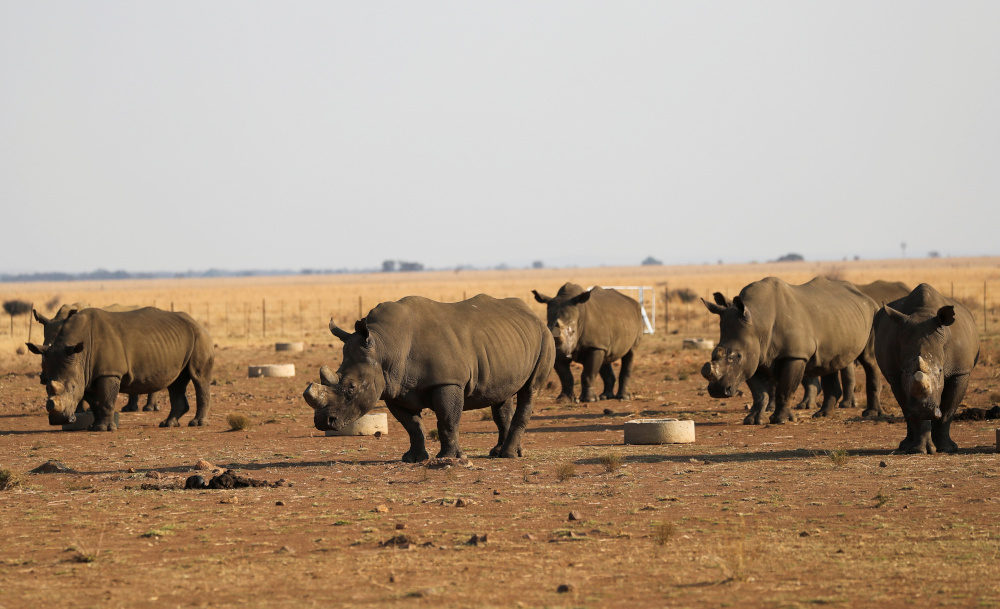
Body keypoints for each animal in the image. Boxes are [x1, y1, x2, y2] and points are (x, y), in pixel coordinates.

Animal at [303, 295, 555, 462]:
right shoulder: (394, 388)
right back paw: (501, 452)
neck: (385, 345)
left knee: (530, 391)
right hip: (506, 342)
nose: (323, 421)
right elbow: (413, 426)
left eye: (352, 387)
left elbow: (447, 420)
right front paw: (413, 459)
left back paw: (508, 455)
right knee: (501, 397)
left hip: (546, 337)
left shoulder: (448, 381)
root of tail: (533, 315)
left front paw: (449, 458)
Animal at [701, 277, 882, 425]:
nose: (717, 391)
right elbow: (759, 393)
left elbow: (785, 388)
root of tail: (866, 297)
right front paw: (752, 420)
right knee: (829, 362)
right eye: (713, 354)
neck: (759, 322)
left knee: (869, 360)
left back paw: (870, 414)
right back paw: (823, 415)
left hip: (874, 313)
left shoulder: (794, 355)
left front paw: (781, 420)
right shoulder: (753, 358)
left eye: (738, 356)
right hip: (840, 318)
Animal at [874, 283, 979, 454]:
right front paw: (919, 450)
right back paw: (905, 446)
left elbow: (948, 410)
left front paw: (947, 448)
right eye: (903, 372)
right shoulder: (894, 373)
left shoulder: (960, 371)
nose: (923, 409)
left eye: (941, 371)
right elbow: (908, 408)